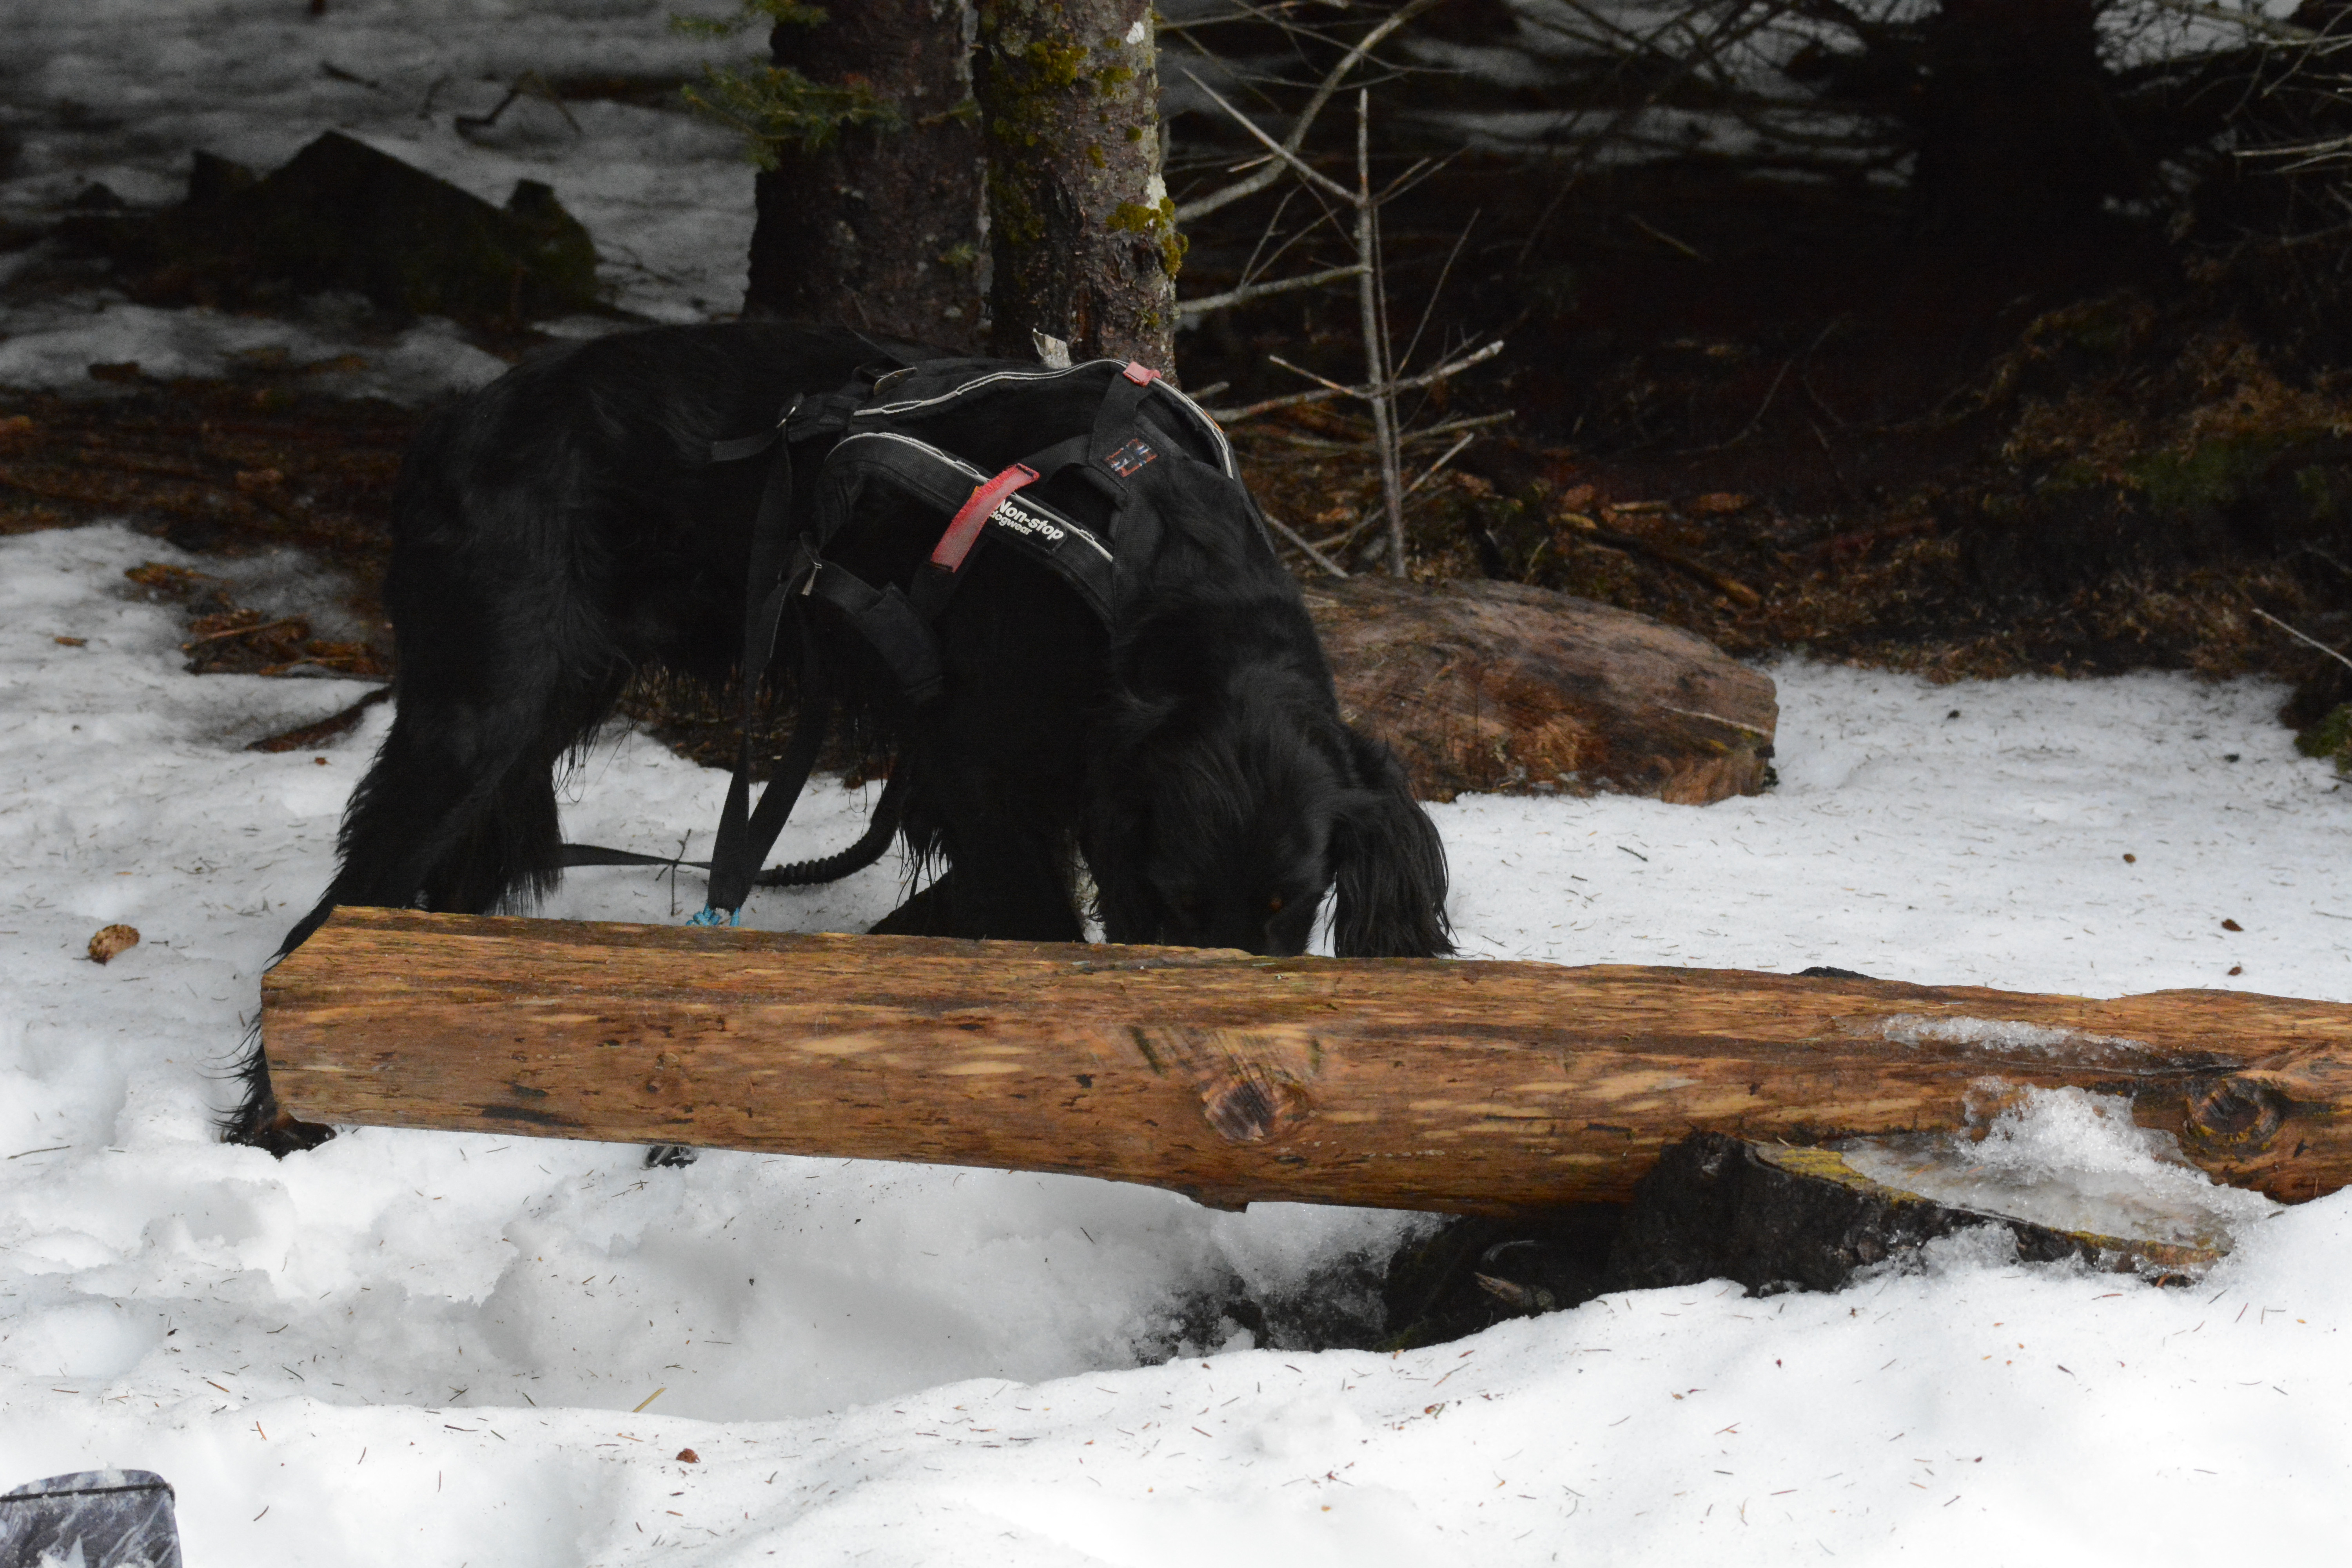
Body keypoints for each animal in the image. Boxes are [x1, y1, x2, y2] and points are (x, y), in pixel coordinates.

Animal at [227, 322, 1450, 1152]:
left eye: (1295, 903)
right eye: (1174, 901)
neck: (1144, 559)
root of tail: (446, 425)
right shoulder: (988, 774)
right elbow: (1039, 927)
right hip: (485, 704)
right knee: (337, 914)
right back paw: (285, 1116)